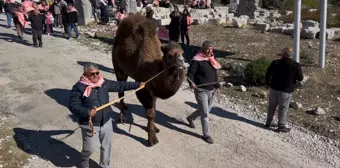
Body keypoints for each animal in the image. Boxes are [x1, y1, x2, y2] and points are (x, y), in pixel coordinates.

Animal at [111, 13, 186, 146]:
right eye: (170, 55)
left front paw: (154, 128)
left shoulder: (153, 89)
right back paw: (122, 117)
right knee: (121, 90)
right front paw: (152, 138)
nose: (181, 61)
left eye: (182, 52)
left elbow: (154, 107)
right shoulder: (144, 89)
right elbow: (151, 113)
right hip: (117, 66)